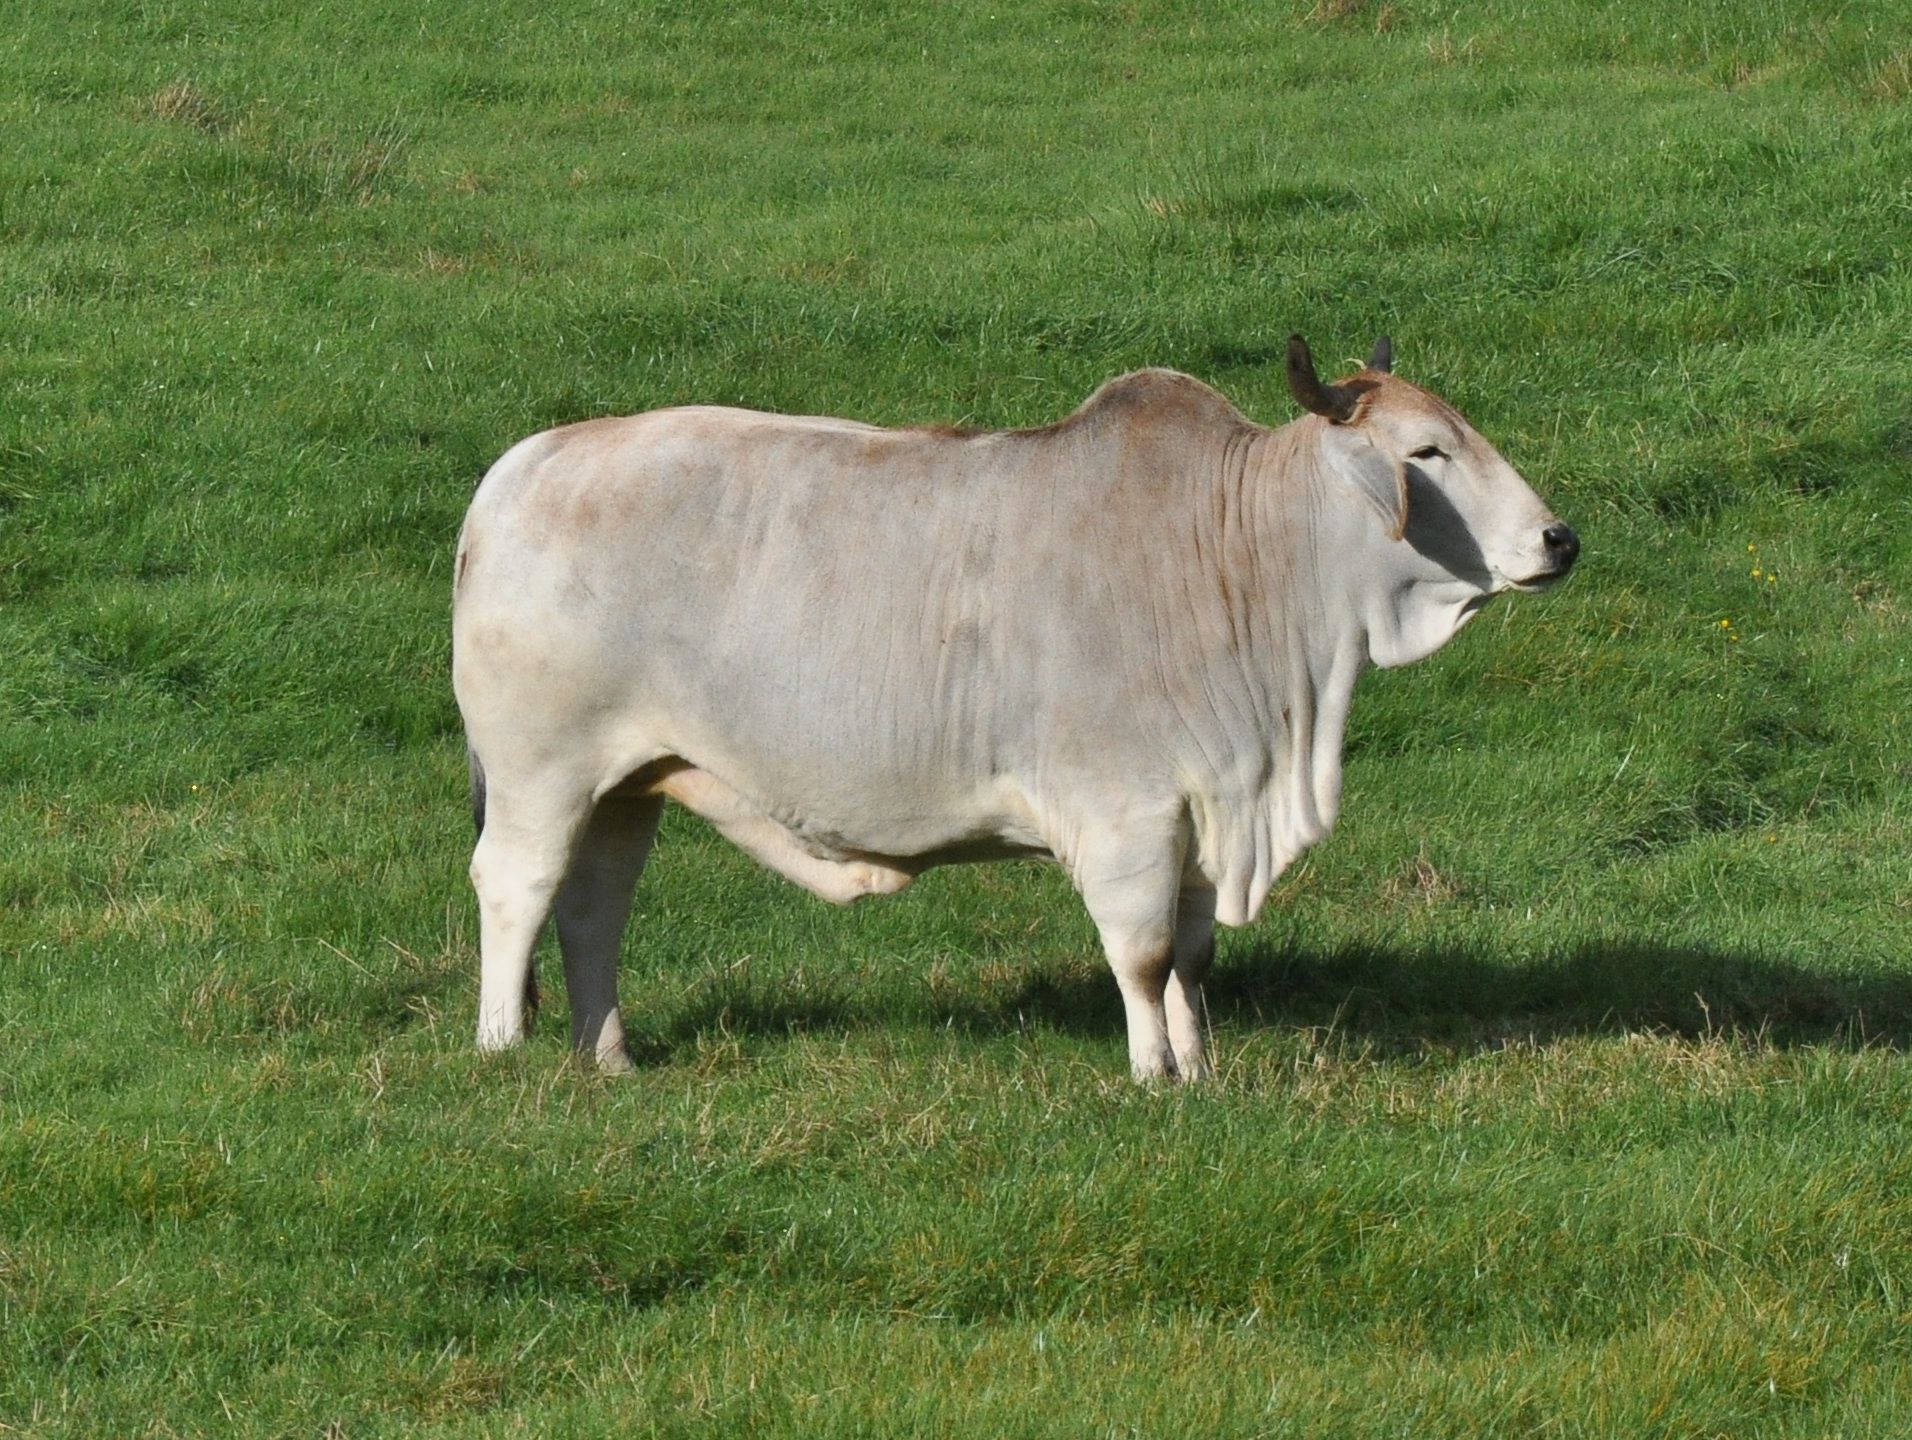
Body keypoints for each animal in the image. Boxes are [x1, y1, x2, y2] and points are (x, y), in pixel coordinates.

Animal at [455, 336, 1575, 1078]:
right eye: (1425, 452)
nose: (1558, 539)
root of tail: (524, 464)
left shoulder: (1203, 805)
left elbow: (1193, 957)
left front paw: (1200, 1068)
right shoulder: (1124, 809)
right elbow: (1143, 953)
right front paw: (1152, 1076)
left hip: (627, 784)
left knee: (593, 908)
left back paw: (607, 1057)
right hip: (539, 773)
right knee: (517, 887)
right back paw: (504, 1049)